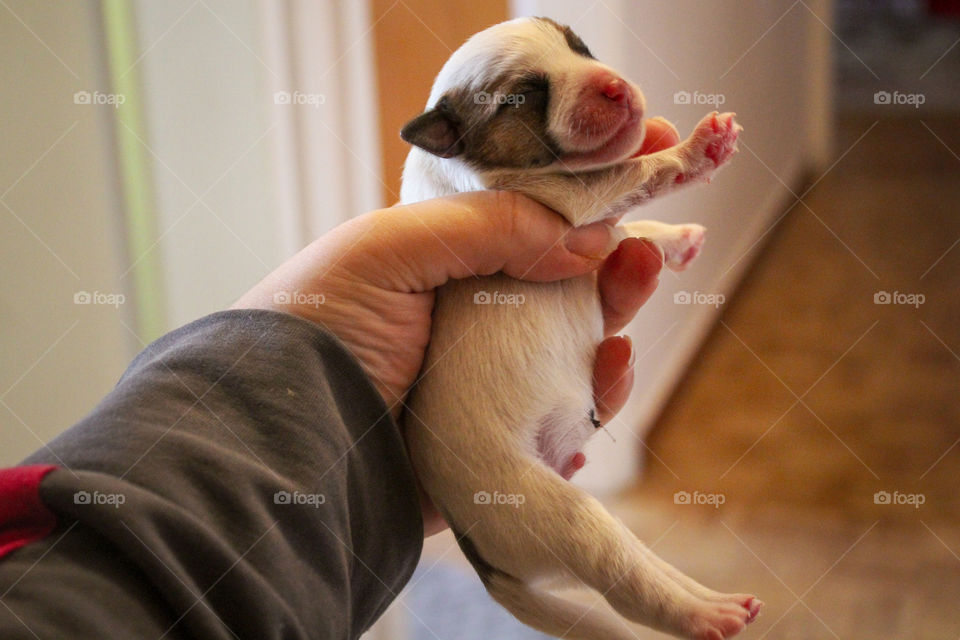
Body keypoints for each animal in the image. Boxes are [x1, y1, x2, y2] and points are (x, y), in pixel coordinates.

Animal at [398, 17, 756, 636]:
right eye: (523, 96)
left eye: (580, 47)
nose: (614, 86)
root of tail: (483, 564)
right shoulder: (567, 200)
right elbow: (635, 171)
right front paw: (700, 148)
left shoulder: (589, 225)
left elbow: (624, 230)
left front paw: (677, 239)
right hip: (554, 515)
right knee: (628, 585)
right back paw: (708, 615)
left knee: (643, 564)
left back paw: (716, 598)